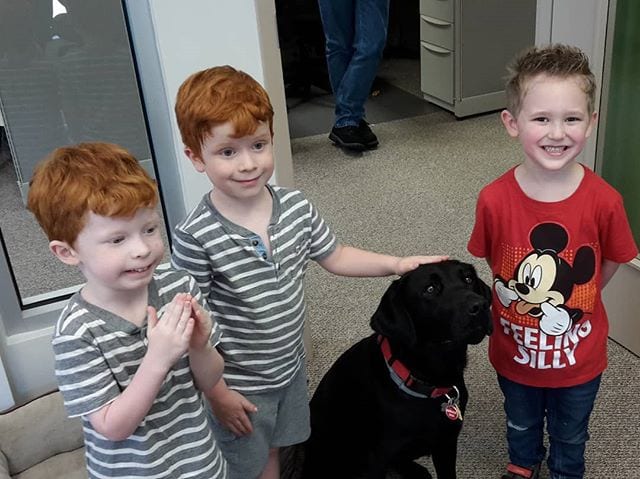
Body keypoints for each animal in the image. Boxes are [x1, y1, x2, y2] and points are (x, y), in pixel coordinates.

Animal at [302, 260, 492, 478]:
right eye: (430, 289)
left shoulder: (446, 443)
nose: (480, 306)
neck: (428, 380)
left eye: (468, 279)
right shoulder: (377, 460)